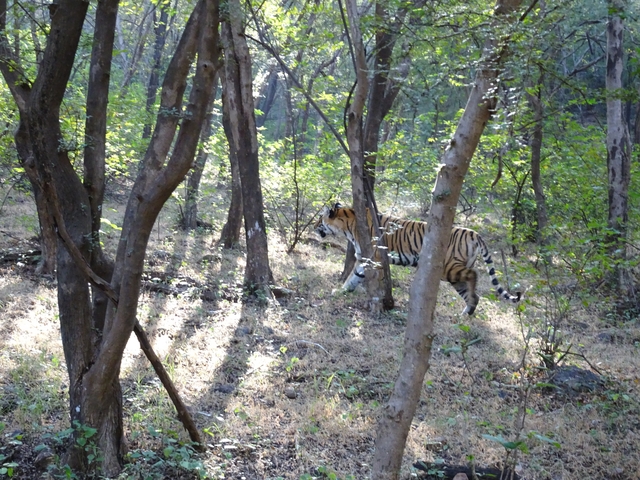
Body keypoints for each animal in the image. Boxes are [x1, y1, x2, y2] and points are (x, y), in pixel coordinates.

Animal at [314, 203, 521, 315]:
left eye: (319, 219)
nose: (314, 227)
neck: (348, 227)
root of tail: (474, 233)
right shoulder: (363, 259)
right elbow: (353, 278)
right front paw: (340, 291)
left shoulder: (376, 258)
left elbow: (373, 282)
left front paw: (377, 302)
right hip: (454, 275)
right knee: (473, 294)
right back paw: (465, 314)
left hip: (449, 268)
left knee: (474, 275)